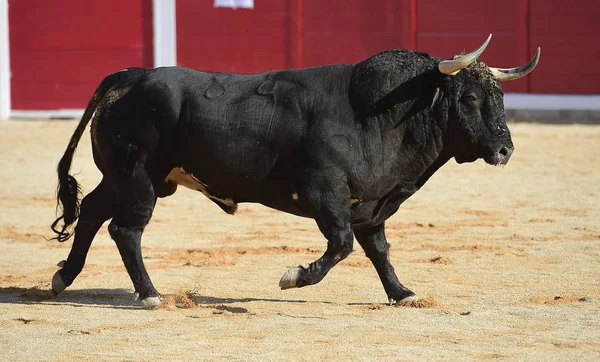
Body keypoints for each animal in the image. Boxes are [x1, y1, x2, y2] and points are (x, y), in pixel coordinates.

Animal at [50, 37, 540, 308]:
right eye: (470, 99)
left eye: (499, 97)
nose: (505, 150)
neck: (381, 115)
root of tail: (128, 76)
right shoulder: (324, 191)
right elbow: (341, 245)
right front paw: (294, 276)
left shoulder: (372, 204)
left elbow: (378, 250)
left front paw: (403, 294)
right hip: (138, 178)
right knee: (125, 229)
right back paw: (150, 293)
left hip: (127, 177)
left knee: (91, 212)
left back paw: (63, 278)